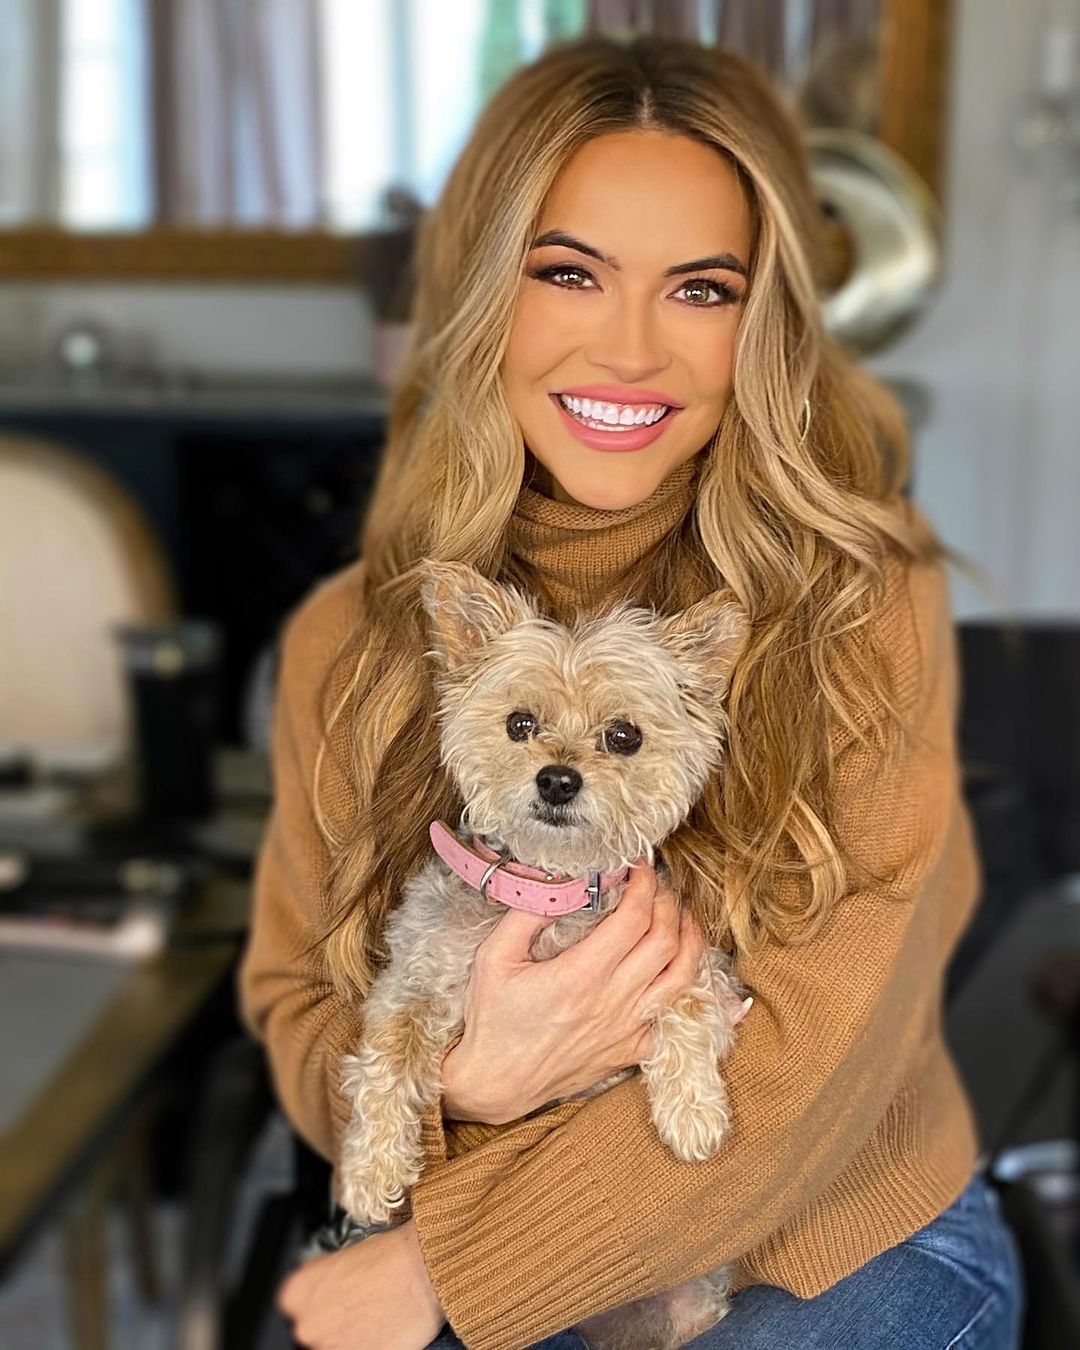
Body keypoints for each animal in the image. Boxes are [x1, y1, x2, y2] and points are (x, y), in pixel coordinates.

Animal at [337, 558, 750, 1350]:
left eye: (624, 736)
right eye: (519, 725)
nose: (557, 779)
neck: (548, 895)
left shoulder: (701, 968)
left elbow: (685, 1005)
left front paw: (692, 1115)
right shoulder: (412, 983)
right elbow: (388, 1058)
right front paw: (372, 1172)